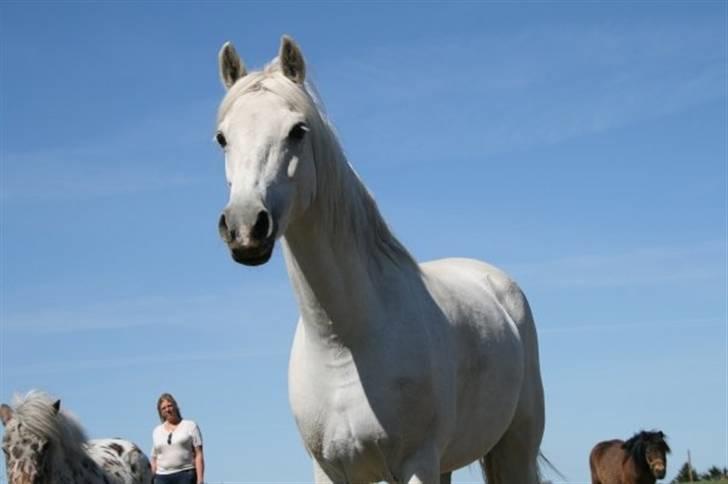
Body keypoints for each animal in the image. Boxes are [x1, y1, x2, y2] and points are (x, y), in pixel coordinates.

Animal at [214, 36, 546, 484]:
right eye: (222, 138)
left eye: (297, 131)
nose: (246, 226)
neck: (344, 344)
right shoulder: (329, 470)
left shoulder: (415, 464)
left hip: (516, 445)